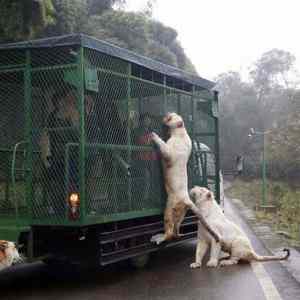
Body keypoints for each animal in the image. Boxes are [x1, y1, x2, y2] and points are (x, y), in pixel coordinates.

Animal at [150, 111, 220, 245]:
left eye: (170, 117)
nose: (166, 114)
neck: (180, 131)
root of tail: (187, 199)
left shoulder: (171, 150)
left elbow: (165, 150)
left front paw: (154, 135)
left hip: (171, 205)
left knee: (169, 226)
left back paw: (159, 238)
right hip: (181, 211)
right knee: (177, 225)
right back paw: (179, 234)